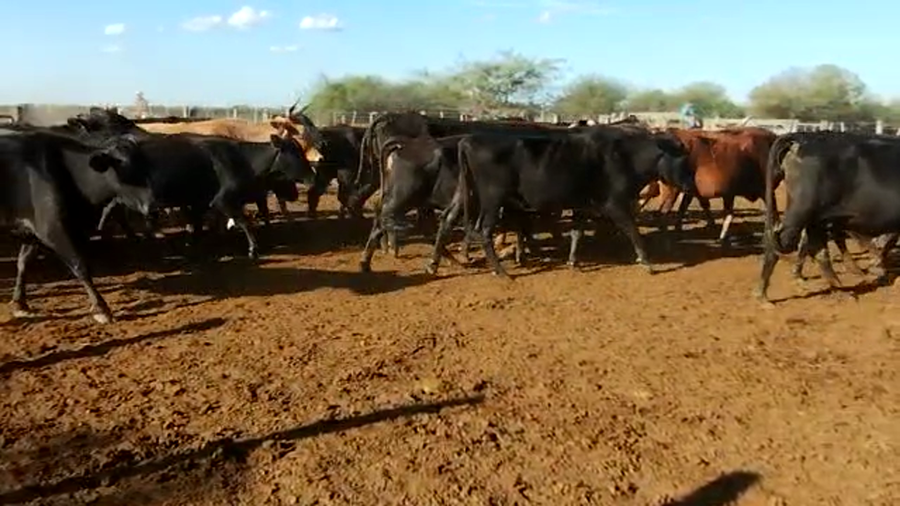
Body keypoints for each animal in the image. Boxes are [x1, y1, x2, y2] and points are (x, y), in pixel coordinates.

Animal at [757, 131, 900, 303]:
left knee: (816, 249)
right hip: (801, 211)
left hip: (816, 218)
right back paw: (763, 296)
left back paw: (840, 288)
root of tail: (803, 137)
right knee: (779, 243)